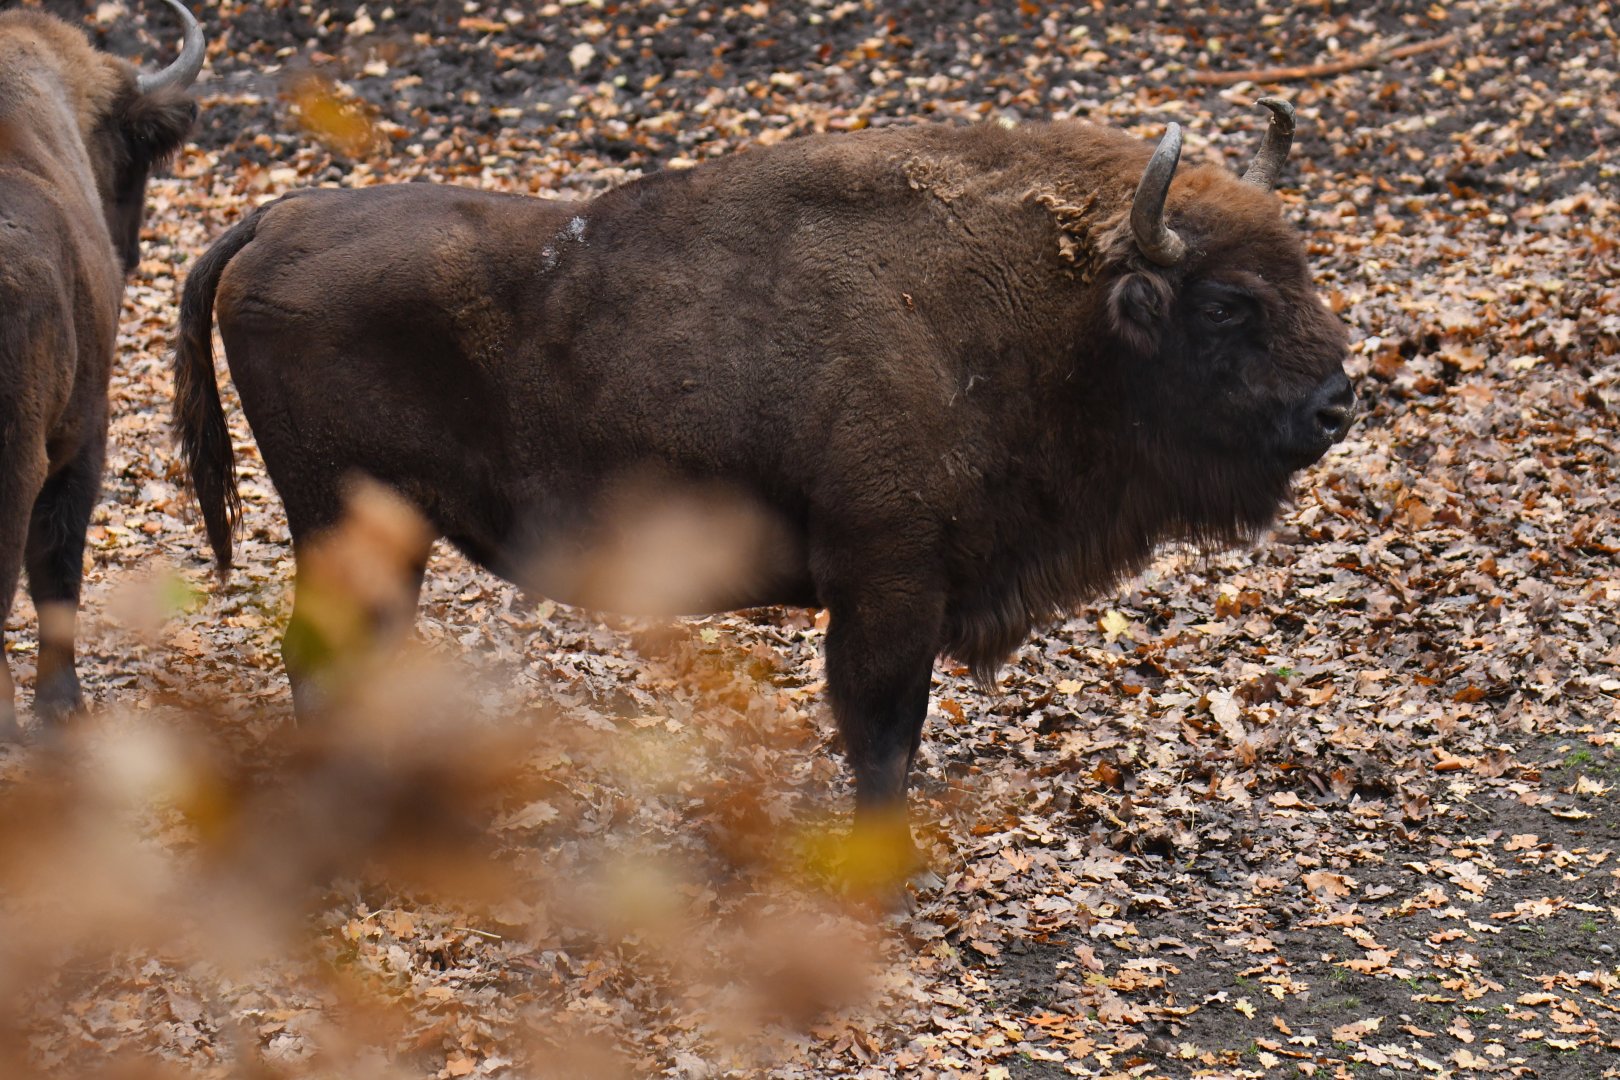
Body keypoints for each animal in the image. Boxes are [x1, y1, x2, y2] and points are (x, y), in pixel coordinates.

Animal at [174, 101, 1353, 880]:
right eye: (1228, 304)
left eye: (1300, 266)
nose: (1338, 404)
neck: (1049, 314)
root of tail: (275, 222)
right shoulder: (890, 583)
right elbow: (882, 731)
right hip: (338, 517)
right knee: (321, 656)